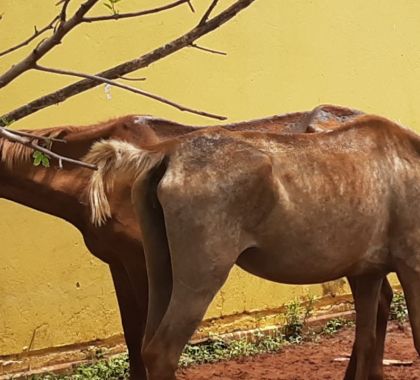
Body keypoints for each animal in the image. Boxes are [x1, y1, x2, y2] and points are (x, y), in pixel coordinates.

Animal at [1, 104, 390, 380]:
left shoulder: (141, 261)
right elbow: (131, 336)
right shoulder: (119, 262)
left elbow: (143, 338)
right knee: (380, 301)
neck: (94, 175)